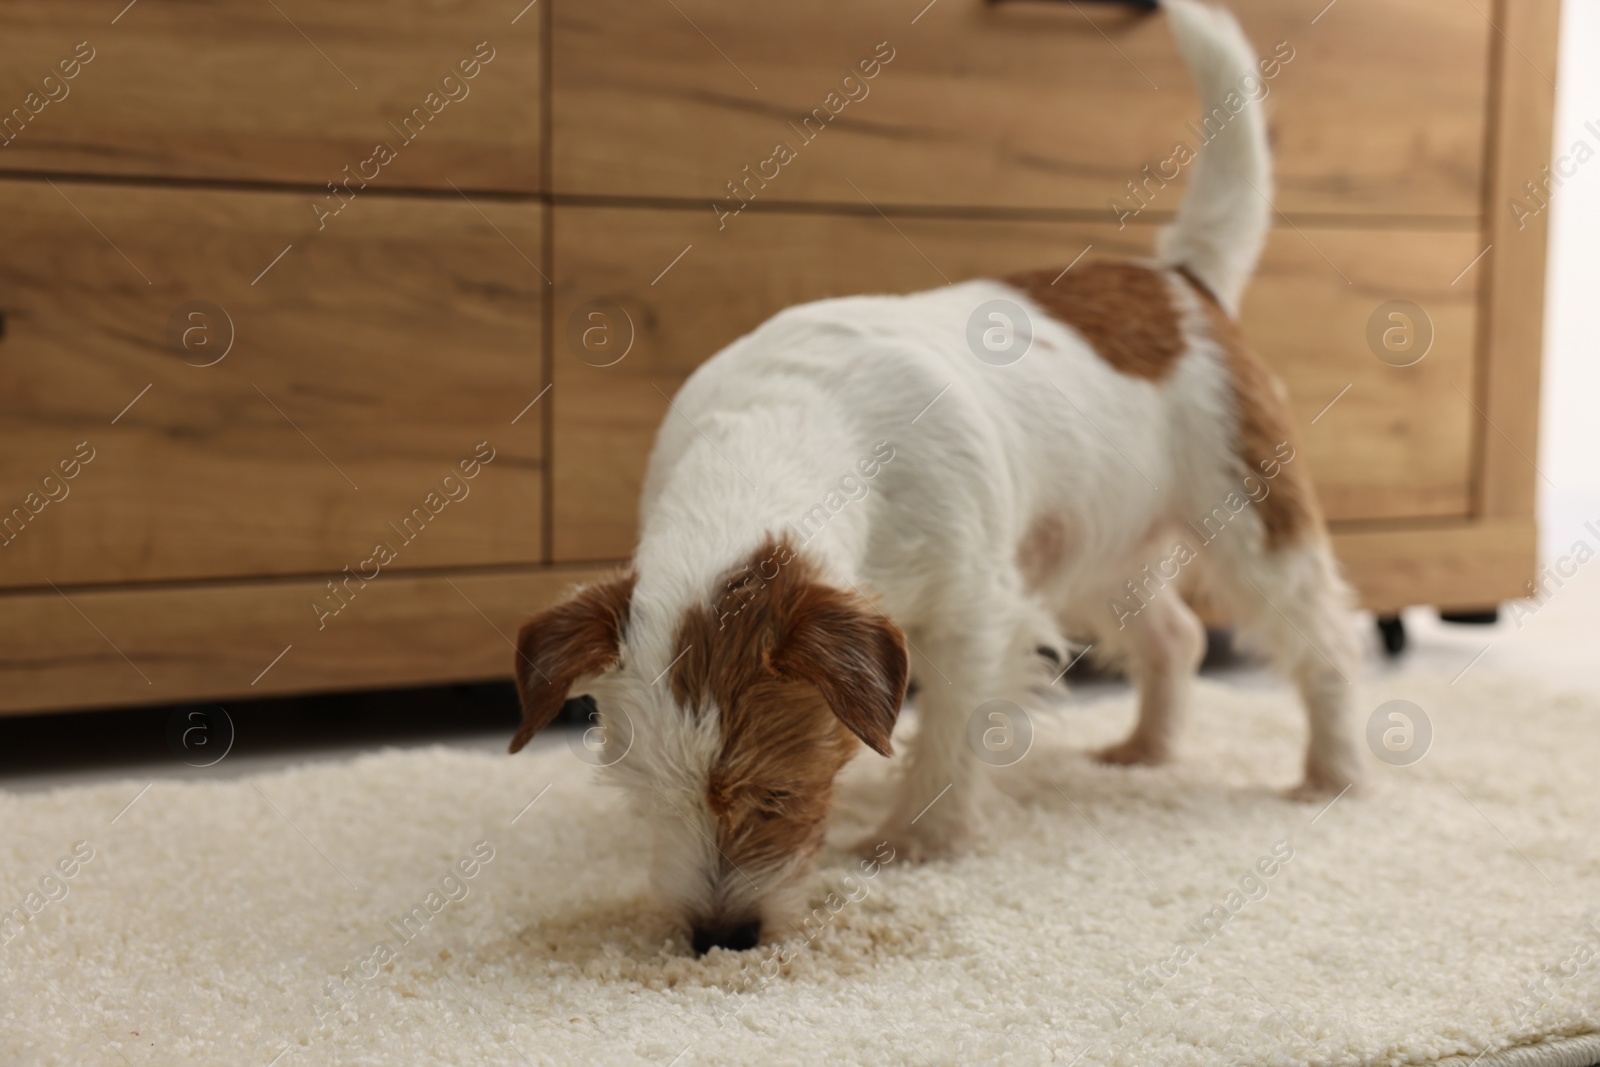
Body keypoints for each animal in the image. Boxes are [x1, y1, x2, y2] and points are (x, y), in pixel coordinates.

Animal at [508, 0, 1363, 953]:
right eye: (646, 799)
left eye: (777, 794)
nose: (719, 938)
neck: (789, 425)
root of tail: (1180, 278)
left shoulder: (974, 615)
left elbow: (950, 731)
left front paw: (918, 838)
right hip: (1097, 546)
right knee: (1176, 637)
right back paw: (1146, 748)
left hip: (1253, 522)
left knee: (1324, 637)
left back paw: (1333, 771)